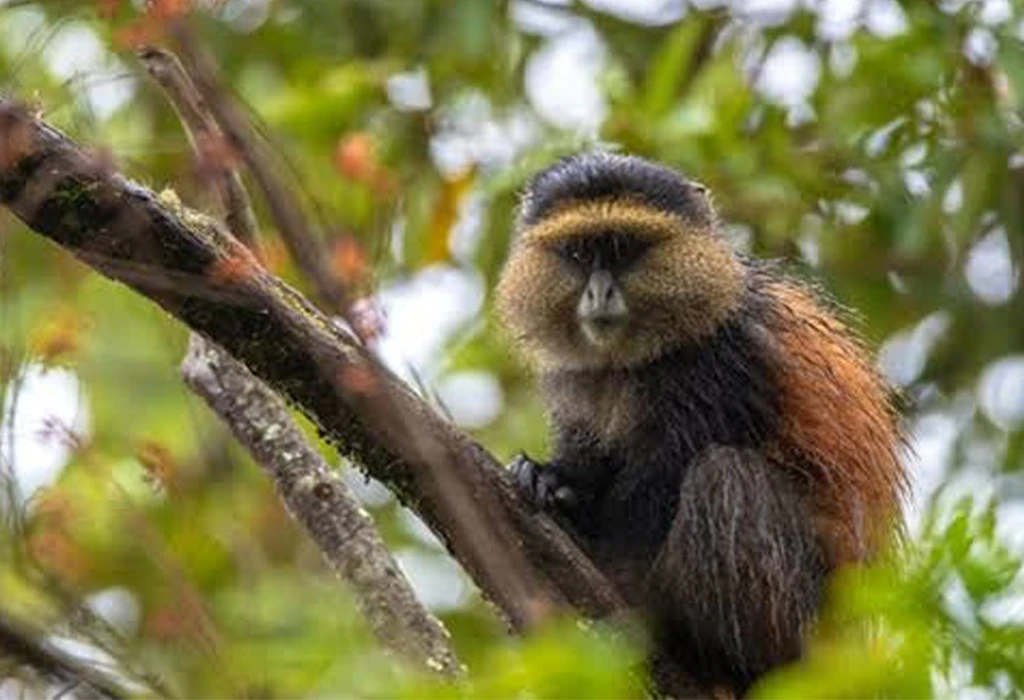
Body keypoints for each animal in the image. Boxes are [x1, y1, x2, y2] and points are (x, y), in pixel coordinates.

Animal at [495, 152, 907, 696]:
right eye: (580, 252)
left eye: (624, 248)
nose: (599, 293)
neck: (633, 361)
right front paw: (552, 480)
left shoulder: (719, 367)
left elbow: (657, 491)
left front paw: (618, 583)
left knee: (727, 478)